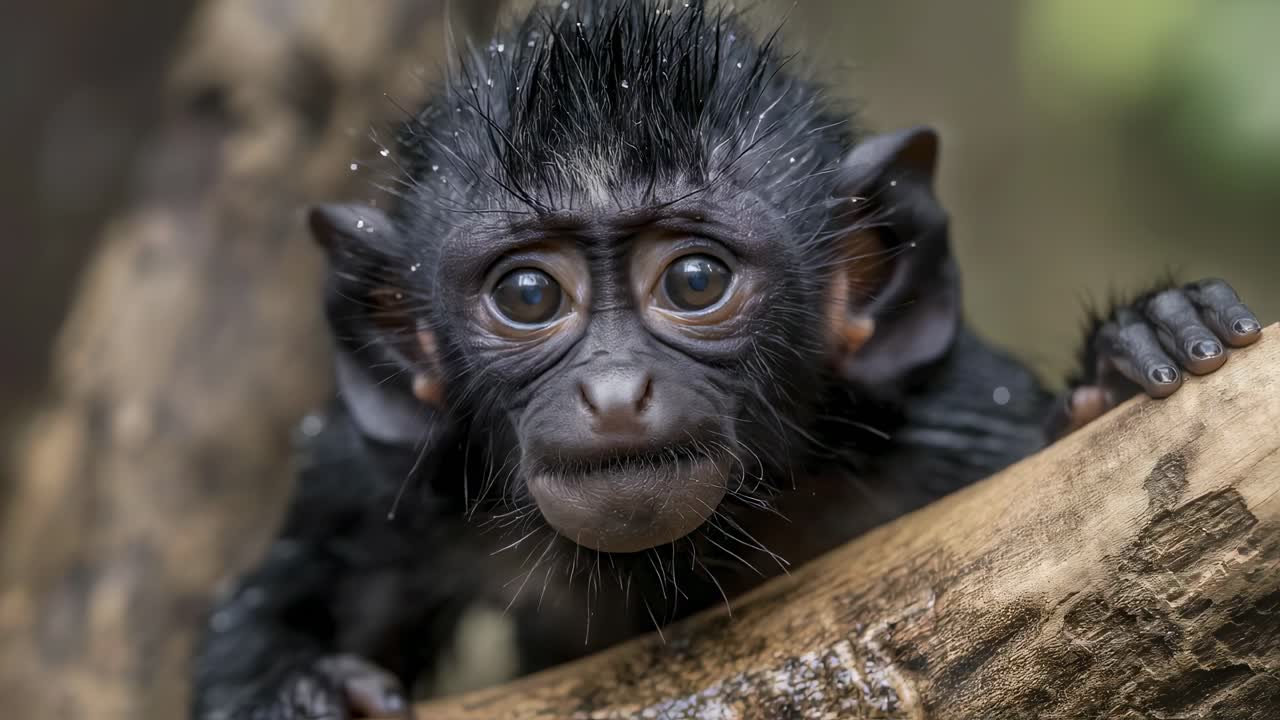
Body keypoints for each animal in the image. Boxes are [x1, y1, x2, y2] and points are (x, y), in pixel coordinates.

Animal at [190, 2, 1264, 718]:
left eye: (696, 280)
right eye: (528, 296)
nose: (613, 390)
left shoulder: (953, 418)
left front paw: (1127, 359)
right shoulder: (380, 480)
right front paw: (297, 692)